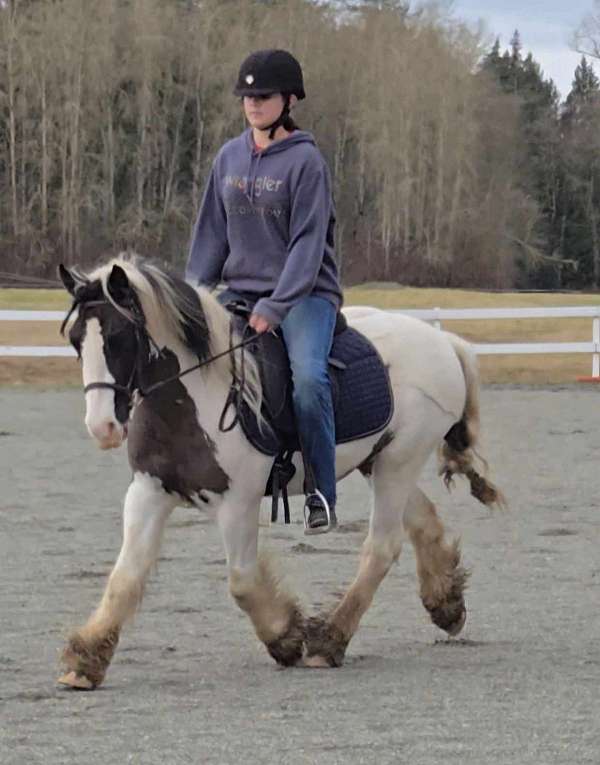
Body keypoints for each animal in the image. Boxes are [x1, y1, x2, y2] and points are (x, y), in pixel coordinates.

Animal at [56, 254, 502, 688]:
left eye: (118, 338)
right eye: (76, 339)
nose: (102, 427)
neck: (197, 396)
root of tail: (444, 341)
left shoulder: (238, 501)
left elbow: (241, 580)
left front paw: (285, 636)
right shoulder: (148, 492)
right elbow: (125, 577)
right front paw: (86, 660)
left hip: (398, 463)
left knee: (382, 547)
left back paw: (329, 640)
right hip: (380, 461)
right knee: (422, 521)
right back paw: (446, 604)